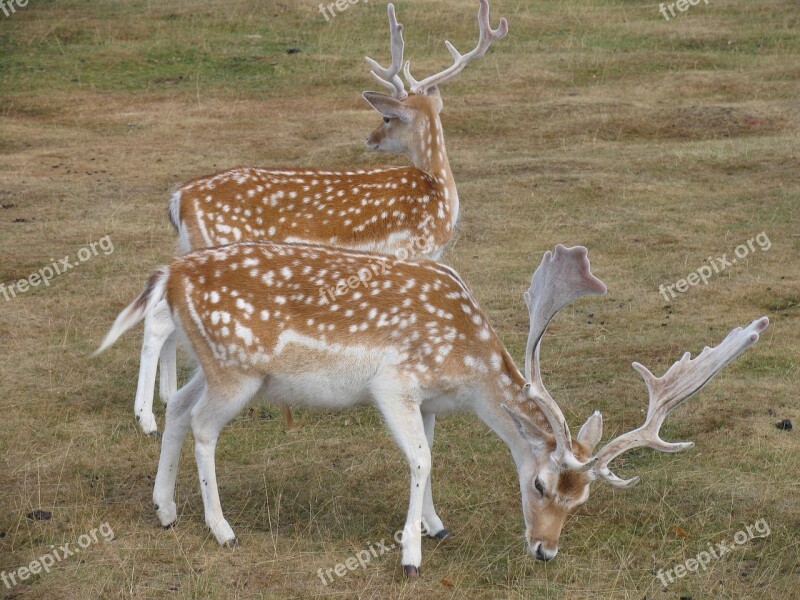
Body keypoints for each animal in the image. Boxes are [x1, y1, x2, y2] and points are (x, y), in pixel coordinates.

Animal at [95, 241, 768, 576]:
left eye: (582, 501)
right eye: (541, 485)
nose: (546, 551)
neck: (465, 370)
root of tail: (170, 274)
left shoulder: (428, 401)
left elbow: (431, 452)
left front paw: (434, 525)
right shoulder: (393, 385)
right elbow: (421, 460)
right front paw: (410, 555)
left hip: (218, 368)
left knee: (178, 408)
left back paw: (165, 511)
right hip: (236, 370)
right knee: (202, 425)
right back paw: (221, 529)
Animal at [131, 0, 506, 436]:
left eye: (388, 119)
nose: (370, 138)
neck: (439, 191)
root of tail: (179, 198)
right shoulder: (412, 252)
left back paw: (166, 396)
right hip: (217, 251)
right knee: (159, 318)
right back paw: (147, 417)